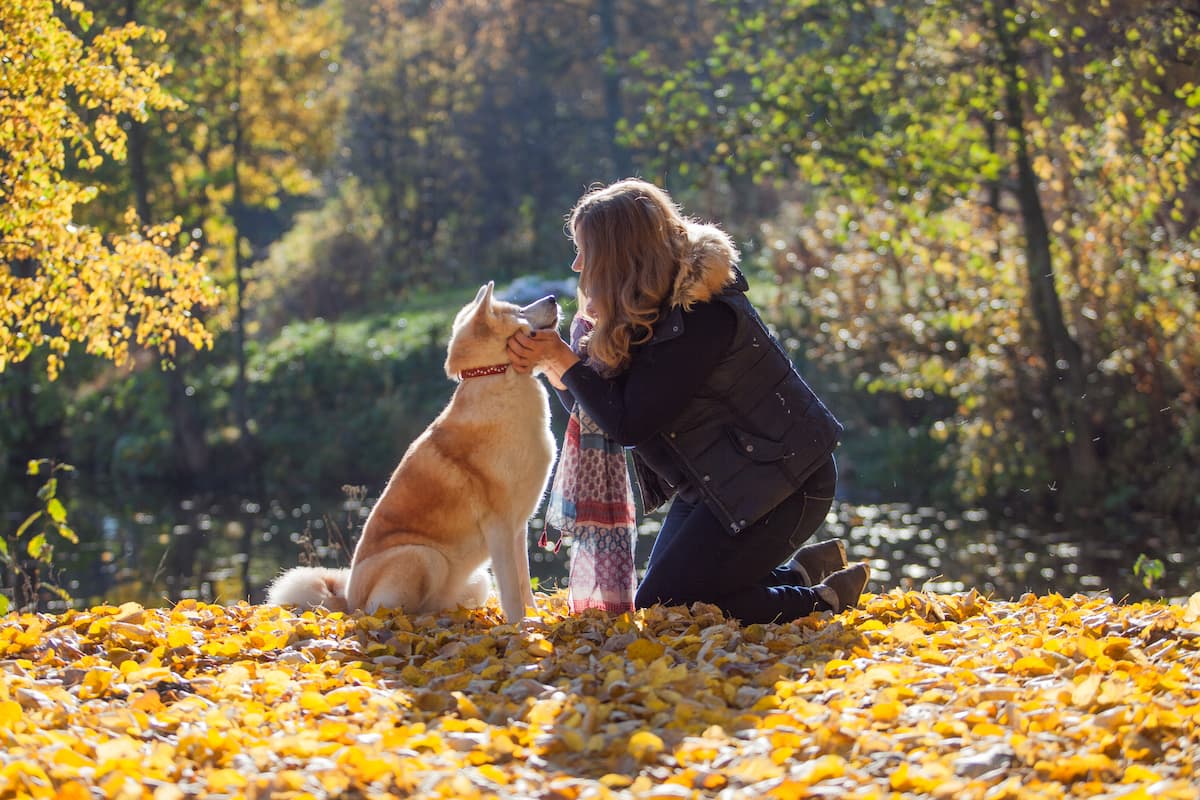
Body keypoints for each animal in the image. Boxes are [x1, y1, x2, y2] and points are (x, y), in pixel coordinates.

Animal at [267, 283, 556, 623]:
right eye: (519, 311)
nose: (553, 298)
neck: (496, 376)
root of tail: (347, 601)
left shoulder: (518, 528)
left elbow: (524, 583)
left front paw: (535, 618)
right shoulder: (499, 527)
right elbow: (511, 589)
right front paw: (520, 626)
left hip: (476, 581)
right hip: (423, 556)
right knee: (386, 611)